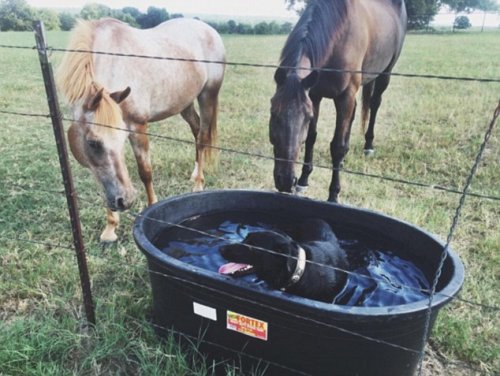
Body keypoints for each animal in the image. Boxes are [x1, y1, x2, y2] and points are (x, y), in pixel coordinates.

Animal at [56, 17, 225, 242]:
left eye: (121, 140)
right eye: (93, 143)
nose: (125, 201)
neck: (114, 65)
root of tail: (208, 29)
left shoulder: (137, 127)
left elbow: (145, 172)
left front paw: (153, 209)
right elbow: (103, 181)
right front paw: (110, 228)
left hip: (208, 96)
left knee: (203, 135)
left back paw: (198, 185)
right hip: (185, 103)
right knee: (196, 132)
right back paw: (196, 173)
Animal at [270, 0, 406, 203]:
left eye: (306, 117)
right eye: (274, 114)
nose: (286, 181)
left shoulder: (345, 96)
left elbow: (337, 146)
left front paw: (333, 195)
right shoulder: (314, 95)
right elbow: (311, 137)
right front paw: (303, 180)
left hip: (385, 73)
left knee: (374, 104)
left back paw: (368, 146)